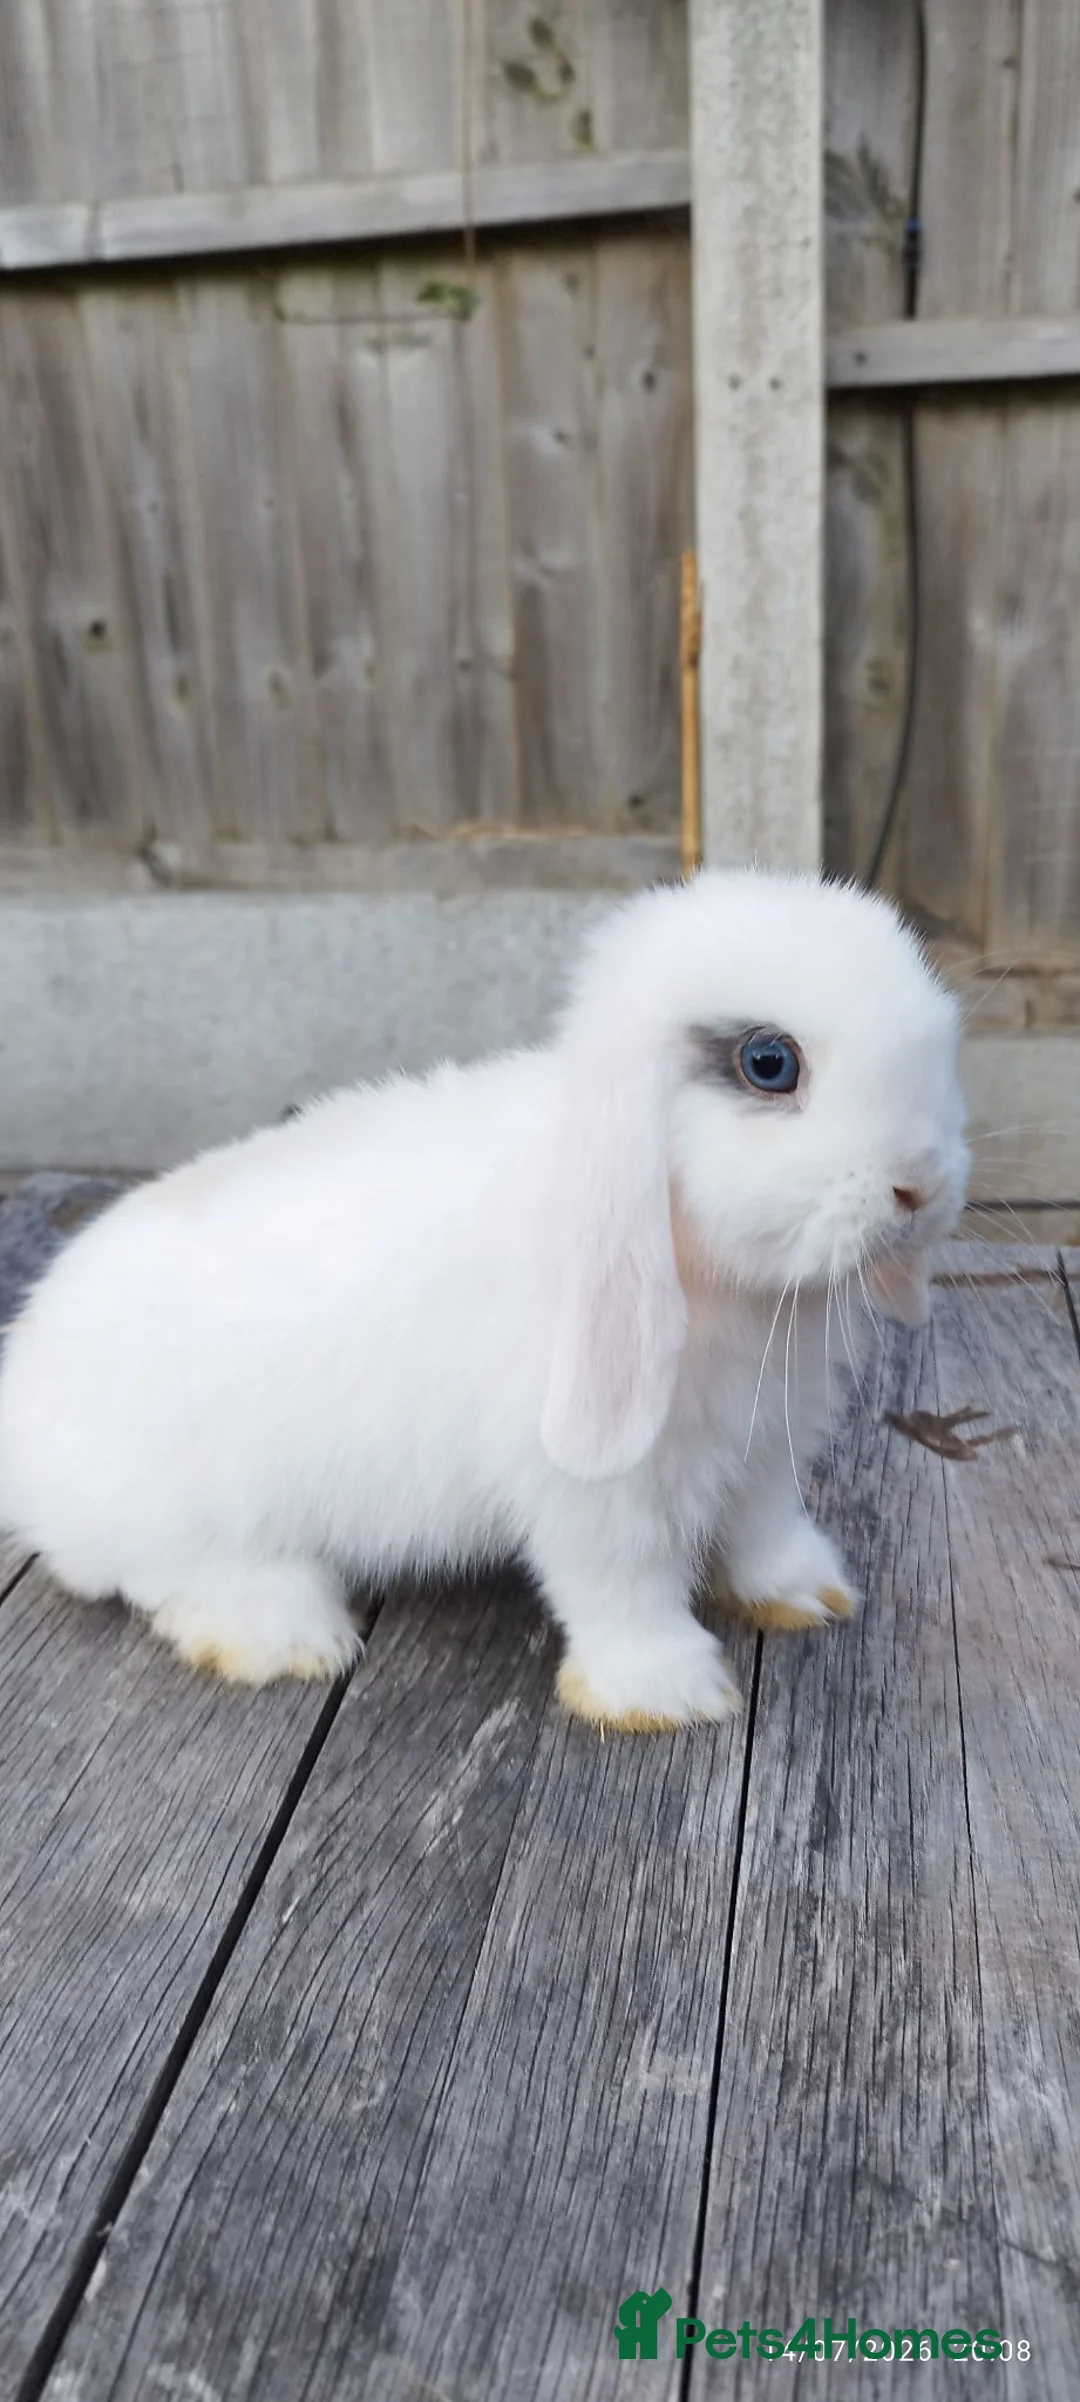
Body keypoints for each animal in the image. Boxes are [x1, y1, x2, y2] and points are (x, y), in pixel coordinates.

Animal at [0, 869, 968, 1730]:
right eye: (769, 1063)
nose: (921, 1184)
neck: (724, 1286)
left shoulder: (764, 1440)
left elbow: (766, 1526)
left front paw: (808, 1595)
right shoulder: (592, 1488)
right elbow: (622, 1580)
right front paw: (664, 1697)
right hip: (169, 1513)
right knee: (156, 1576)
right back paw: (282, 1635)